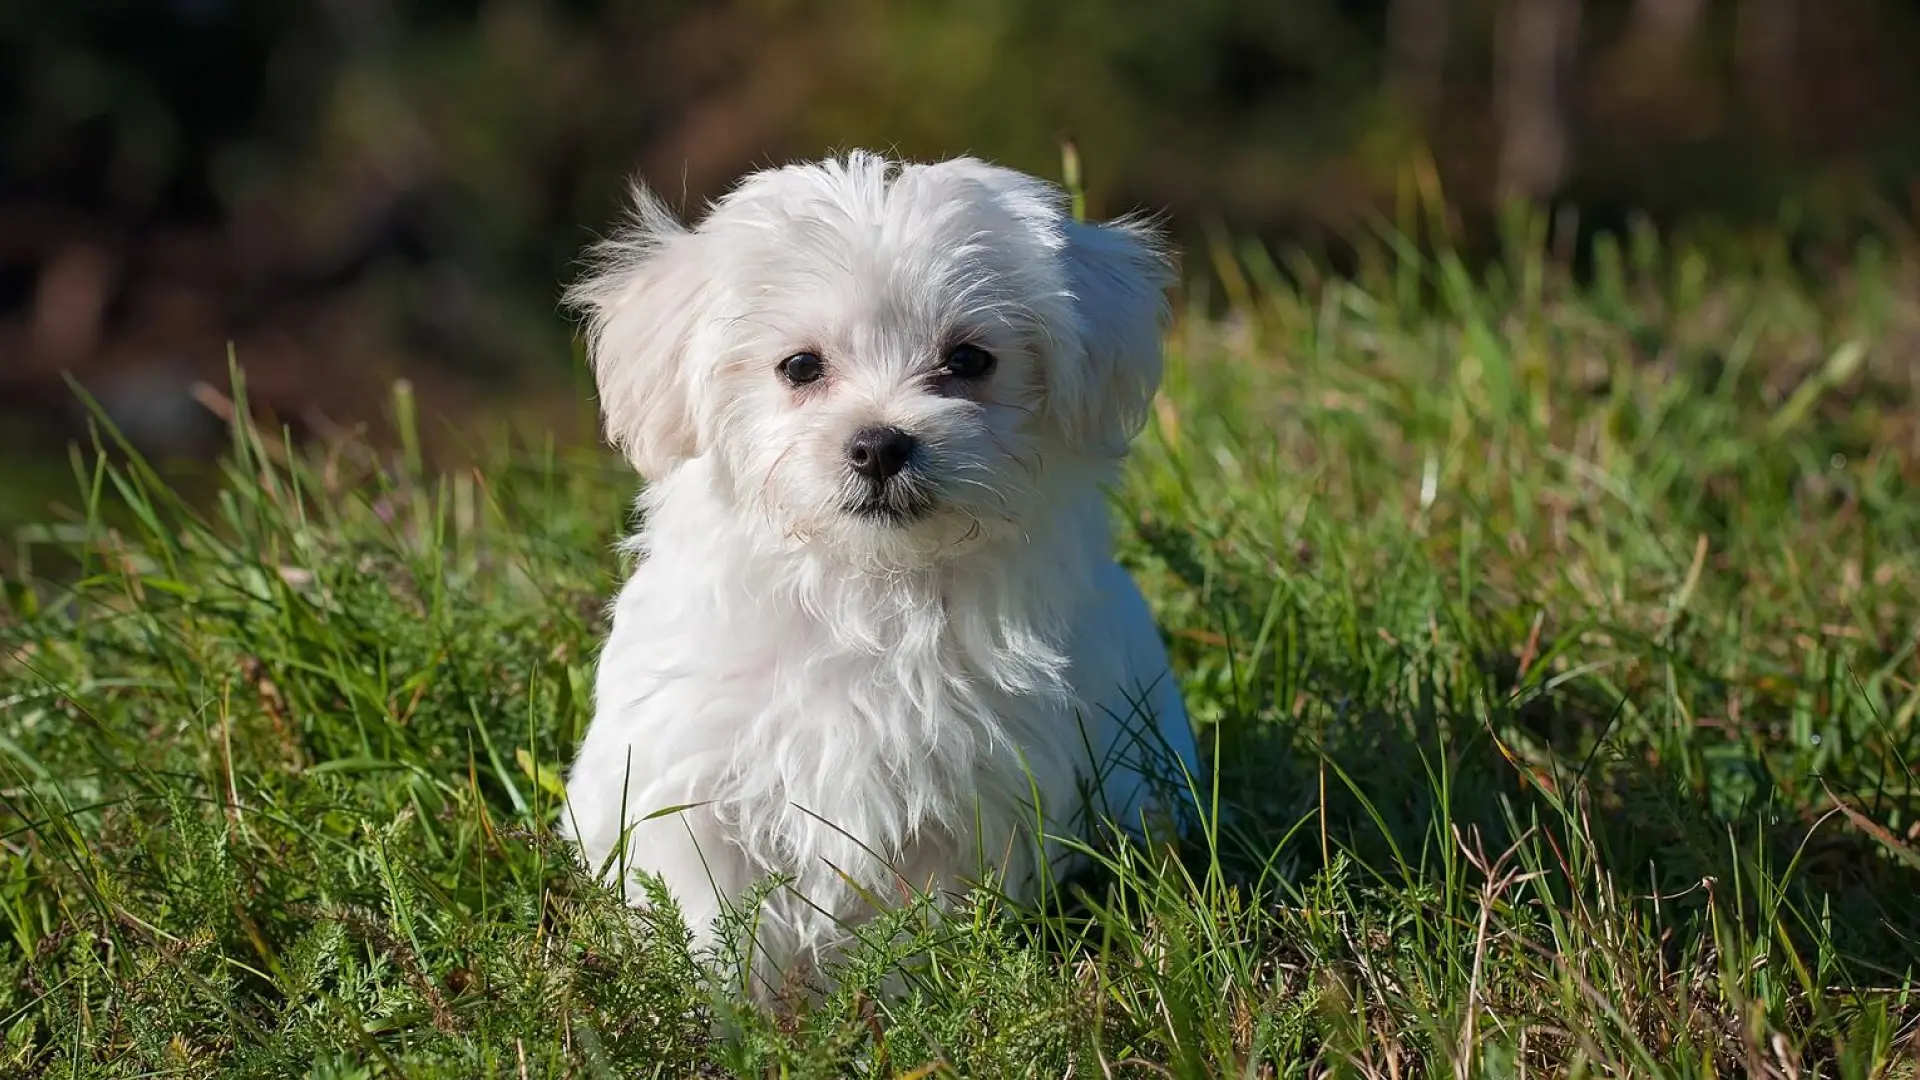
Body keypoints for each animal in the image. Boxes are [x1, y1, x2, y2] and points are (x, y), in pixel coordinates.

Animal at [556, 153, 1205, 999]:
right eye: (800, 367)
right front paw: (728, 1011)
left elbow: (920, 922)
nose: (878, 444)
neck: (870, 587)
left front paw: (899, 1001)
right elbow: (712, 916)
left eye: (969, 360)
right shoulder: (691, 781)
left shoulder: (971, 799)